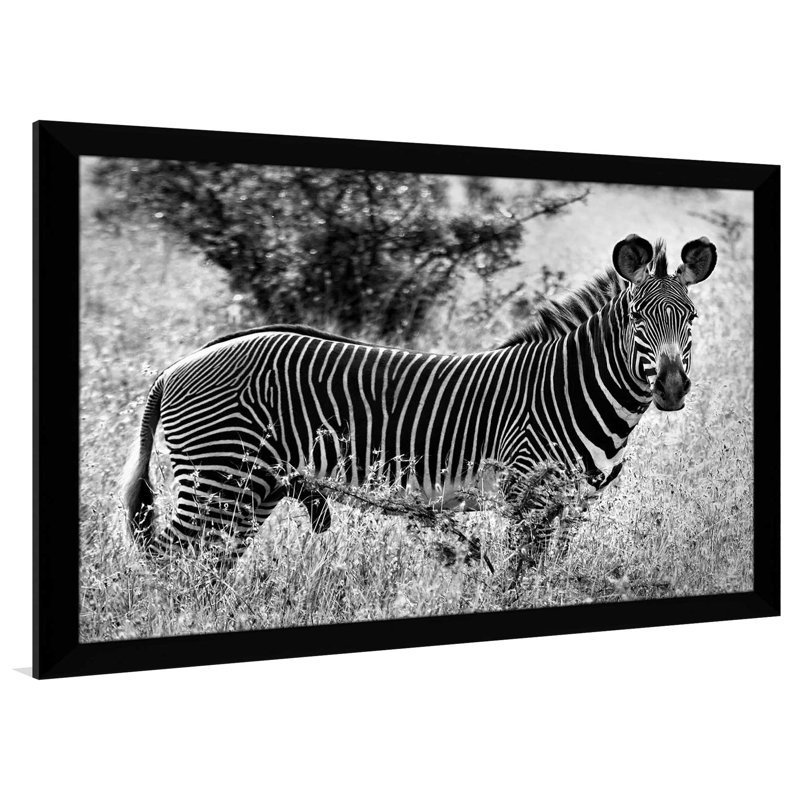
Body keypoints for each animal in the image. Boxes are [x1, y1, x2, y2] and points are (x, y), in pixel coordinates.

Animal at [120, 233, 717, 563]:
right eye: (636, 318)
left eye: (690, 318)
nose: (670, 388)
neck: (571, 387)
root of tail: (176, 366)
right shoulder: (526, 496)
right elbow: (521, 578)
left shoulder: (569, 505)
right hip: (219, 478)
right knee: (173, 562)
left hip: (253, 488)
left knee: (206, 567)